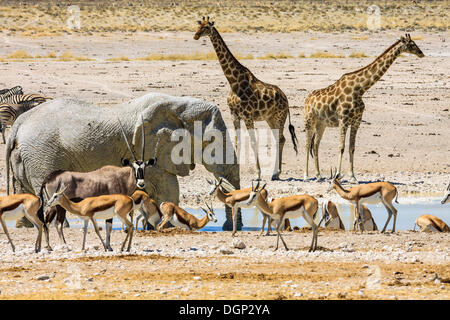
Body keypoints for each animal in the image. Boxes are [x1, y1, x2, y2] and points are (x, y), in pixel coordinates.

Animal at [4, 92, 243, 230]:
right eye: (211, 142)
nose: (229, 227)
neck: (179, 105)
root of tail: (19, 123)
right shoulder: (148, 148)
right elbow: (168, 187)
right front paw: (166, 227)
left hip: (27, 154)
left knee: (24, 188)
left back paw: (26, 226)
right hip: (41, 154)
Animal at [192, 17, 296, 181]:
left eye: (206, 27)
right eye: (199, 26)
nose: (195, 36)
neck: (234, 82)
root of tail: (286, 100)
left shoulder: (247, 116)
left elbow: (253, 142)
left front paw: (258, 174)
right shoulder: (234, 115)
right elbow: (237, 142)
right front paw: (237, 171)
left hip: (280, 117)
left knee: (280, 139)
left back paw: (275, 173)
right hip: (270, 118)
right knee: (280, 139)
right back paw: (276, 173)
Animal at [304, 34, 424, 182]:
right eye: (412, 44)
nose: (421, 53)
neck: (360, 89)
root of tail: (307, 99)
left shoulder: (356, 121)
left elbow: (352, 147)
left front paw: (352, 176)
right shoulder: (343, 120)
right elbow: (341, 147)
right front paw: (337, 175)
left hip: (322, 124)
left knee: (315, 145)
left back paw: (318, 175)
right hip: (309, 120)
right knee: (307, 144)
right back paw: (306, 175)